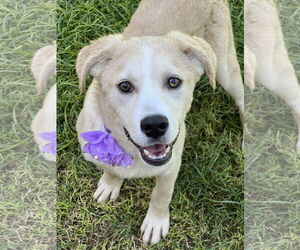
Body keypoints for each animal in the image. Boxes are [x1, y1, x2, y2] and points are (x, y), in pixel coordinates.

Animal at [75, 0, 244, 243]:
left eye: (174, 81)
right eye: (124, 86)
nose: (155, 125)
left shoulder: (171, 165)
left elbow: (161, 194)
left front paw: (156, 221)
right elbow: (111, 169)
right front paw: (110, 183)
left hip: (224, 66)